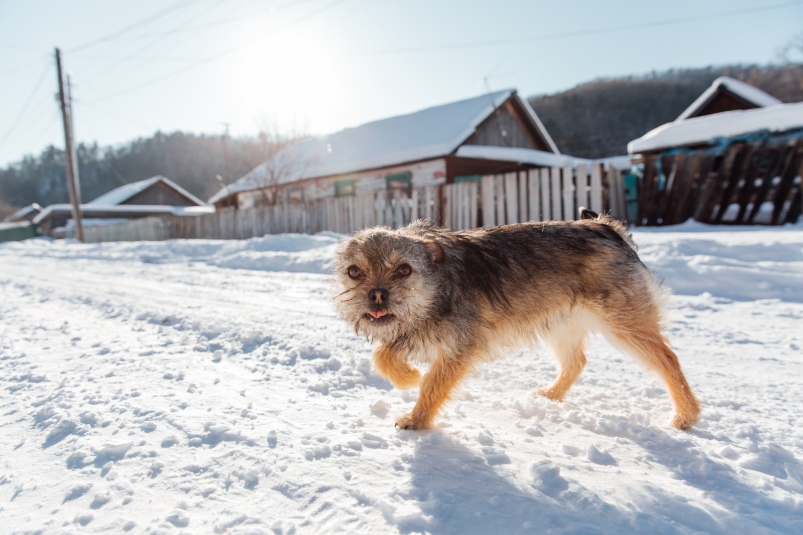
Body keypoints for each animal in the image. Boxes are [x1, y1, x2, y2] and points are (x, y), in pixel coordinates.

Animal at [330, 209, 700, 432]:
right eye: (354, 272)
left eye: (404, 270)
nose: (377, 295)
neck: (436, 289)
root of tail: (606, 227)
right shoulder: (414, 333)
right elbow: (383, 355)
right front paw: (407, 376)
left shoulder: (458, 348)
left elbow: (432, 385)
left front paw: (417, 417)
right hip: (562, 323)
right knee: (576, 361)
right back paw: (551, 395)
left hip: (624, 323)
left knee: (668, 359)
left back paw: (686, 414)